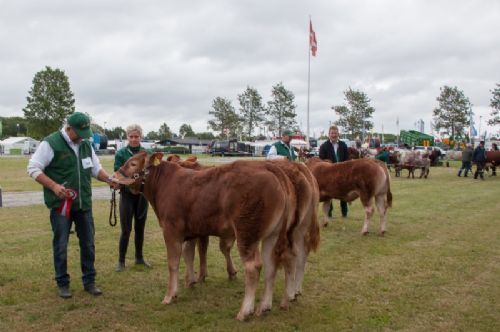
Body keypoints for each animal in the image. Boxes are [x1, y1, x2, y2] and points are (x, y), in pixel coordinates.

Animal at [114, 152, 294, 320]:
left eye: (133, 163)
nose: (114, 176)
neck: (163, 185)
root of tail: (265, 166)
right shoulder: (192, 232)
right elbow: (189, 255)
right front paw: (190, 282)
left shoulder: (171, 231)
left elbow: (173, 263)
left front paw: (169, 295)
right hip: (272, 234)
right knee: (271, 265)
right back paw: (264, 307)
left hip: (247, 232)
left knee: (253, 267)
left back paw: (245, 311)